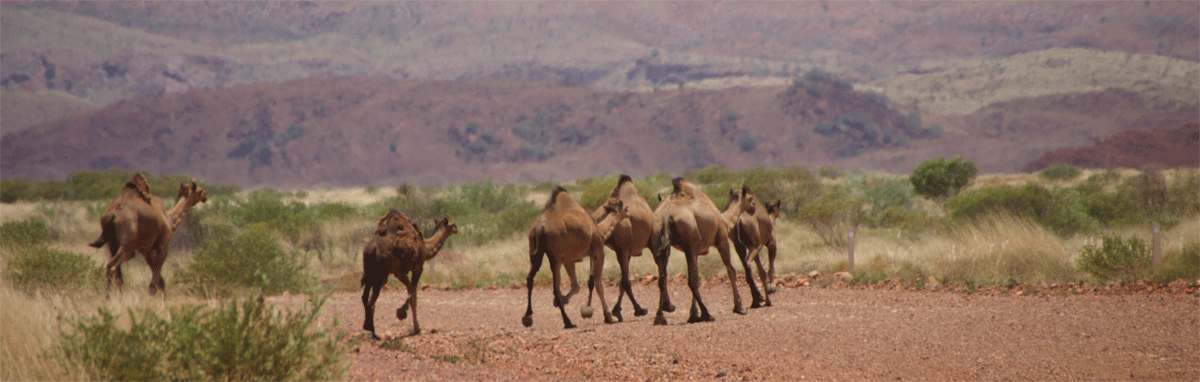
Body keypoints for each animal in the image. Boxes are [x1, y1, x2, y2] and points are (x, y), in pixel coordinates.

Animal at [357, 210, 456, 338]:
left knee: (365, 297)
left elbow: (411, 292)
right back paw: (373, 332)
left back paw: (370, 329)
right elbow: (413, 294)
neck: (425, 248)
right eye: (453, 225)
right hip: (382, 273)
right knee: (372, 299)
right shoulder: (416, 267)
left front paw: (413, 323)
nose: (456, 229)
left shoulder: (399, 273)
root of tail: (371, 249)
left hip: (369, 272)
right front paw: (403, 315)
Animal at [652, 177, 744, 324]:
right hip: (690, 244)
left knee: (663, 278)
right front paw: (739, 307)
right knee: (691, 281)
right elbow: (731, 271)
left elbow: (697, 278)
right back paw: (707, 314)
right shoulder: (721, 240)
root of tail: (666, 215)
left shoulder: (694, 251)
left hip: (663, 245)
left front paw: (693, 314)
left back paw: (661, 315)